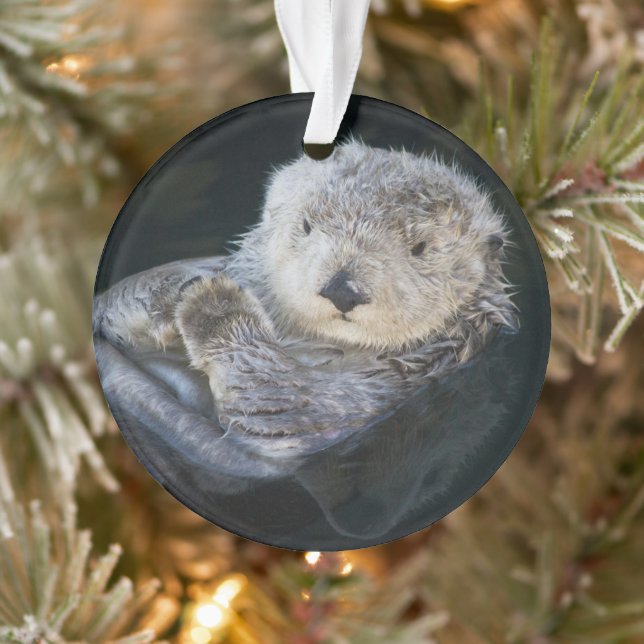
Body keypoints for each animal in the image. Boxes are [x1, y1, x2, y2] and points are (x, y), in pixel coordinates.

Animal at [93, 140, 518, 438]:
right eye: (307, 225)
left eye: (421, 248)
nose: (343, 289)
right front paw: (174, 293)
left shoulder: (377, 392)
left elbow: (281, 400)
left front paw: (213, 304)